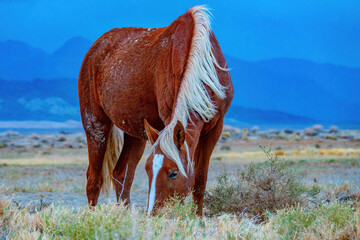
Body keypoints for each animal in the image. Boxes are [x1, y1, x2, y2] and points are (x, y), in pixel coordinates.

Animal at [78, 6, 233, 216]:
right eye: (148, 169)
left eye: (173, 173)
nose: (152, 213)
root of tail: (96, 48)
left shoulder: (215, 128)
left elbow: (200, 181)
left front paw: (198, 218)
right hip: (96, 125)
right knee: (94, 180)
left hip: (135, 134)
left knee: (121, 174)